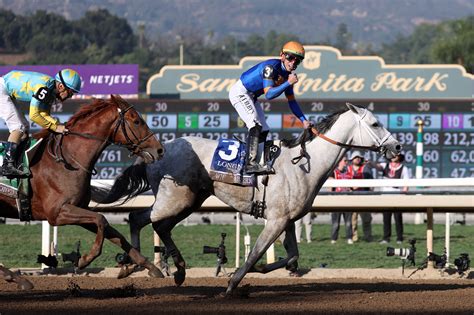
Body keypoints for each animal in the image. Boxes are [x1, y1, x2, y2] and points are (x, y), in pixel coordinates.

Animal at [0, 95, 165, 290]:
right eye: (137, 121)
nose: (160, 149)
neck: (68, 160)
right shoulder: (56, 213)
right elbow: (101, 219)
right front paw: (84, 260)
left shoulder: (79, 209)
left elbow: (114, 233)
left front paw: (149, 267)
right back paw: (17, 278)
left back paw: (18, 279)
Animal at [91, 103, 400, 296]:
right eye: (375, 123)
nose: (397, 147)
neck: (303, 164)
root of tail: (156, 151)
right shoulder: (276, 220)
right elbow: (255, 253)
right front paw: (232, 283)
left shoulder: (287, 220)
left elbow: (292, 257)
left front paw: (264, 269)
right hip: (174, 199)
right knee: (139, 218)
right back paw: (137, 265)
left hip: (191, 200)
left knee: (160, 226)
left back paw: (174, 269)